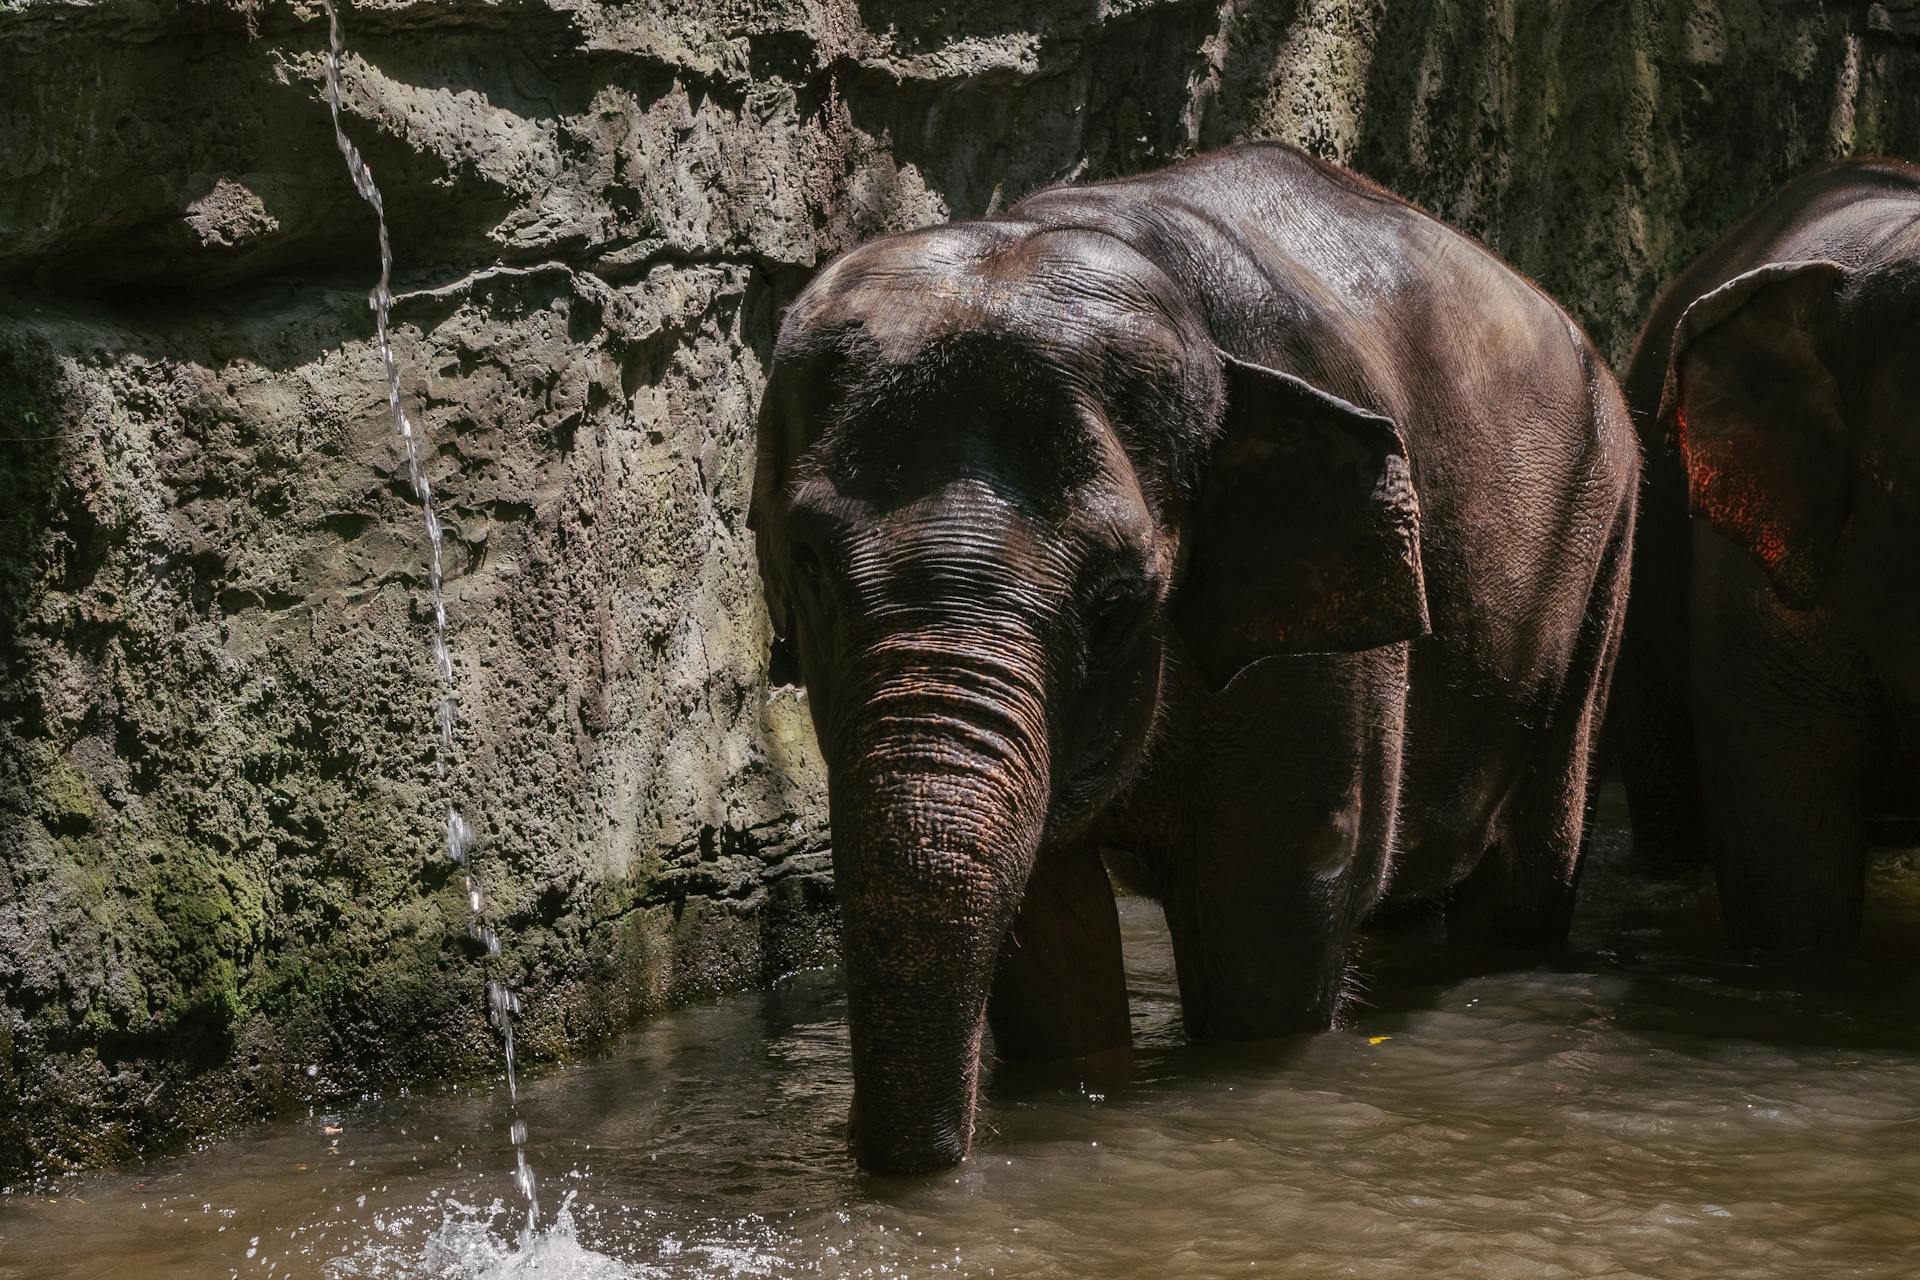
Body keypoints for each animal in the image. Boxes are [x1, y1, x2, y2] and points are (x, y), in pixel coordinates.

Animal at [748, 144, 1635, 1174]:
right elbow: (1049, 931)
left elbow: (1267, 906)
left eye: (1117, 599)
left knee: (1531, 855)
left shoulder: (1321, 660)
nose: (871, 1147)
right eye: (808, 562)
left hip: (1602, 541)